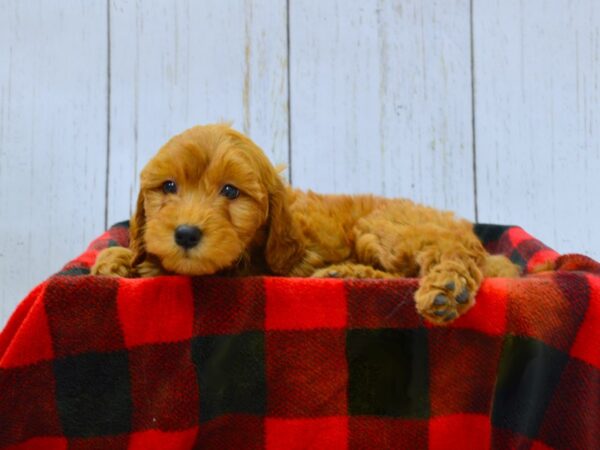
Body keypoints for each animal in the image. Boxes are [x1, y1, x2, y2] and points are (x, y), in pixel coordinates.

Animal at [91, 123, 516, 324]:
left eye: (230, 191)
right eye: (169, 186)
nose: (185, 234)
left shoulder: (250, 268)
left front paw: (145, 266)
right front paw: (117, 258)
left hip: (384, 227)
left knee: (448, 255)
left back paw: (449, 288)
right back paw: (344, 273)